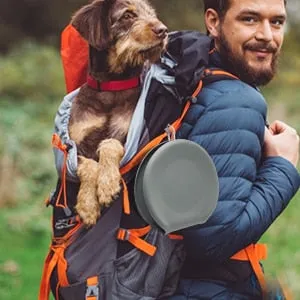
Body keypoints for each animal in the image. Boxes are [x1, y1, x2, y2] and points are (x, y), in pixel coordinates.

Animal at [68, 0, 169, 225]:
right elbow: (87, 165)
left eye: (151, 14)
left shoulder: (128, 136)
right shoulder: (74, 146)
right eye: (127, 15)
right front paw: (87, 204)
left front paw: (107, 184)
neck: (111, 88)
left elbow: (110, 144)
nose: (163, 30)